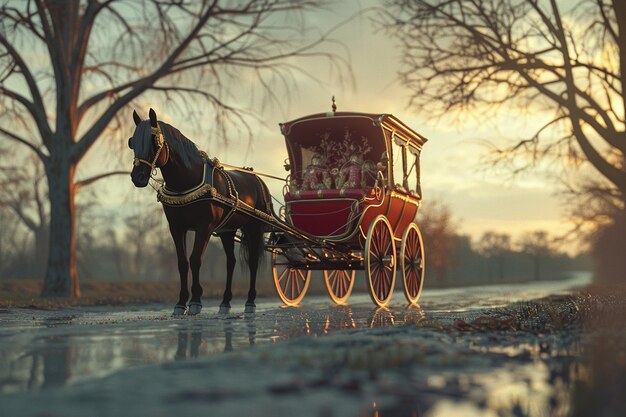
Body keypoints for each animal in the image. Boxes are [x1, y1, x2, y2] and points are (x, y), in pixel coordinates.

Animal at [129, 109, 270, 314]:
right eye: (132, 142)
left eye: (155, 141)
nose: (137, 177)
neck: (187, 181)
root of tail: (257, 179)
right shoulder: (177, 227)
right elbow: (182, 263)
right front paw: (181, 303)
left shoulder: (205, 227)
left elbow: (195, 259)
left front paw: (195, 301)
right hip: (227, 231)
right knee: (231, 262)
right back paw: (225, 302)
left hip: (254, 227)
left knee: (253, 261)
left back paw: (250, 301)